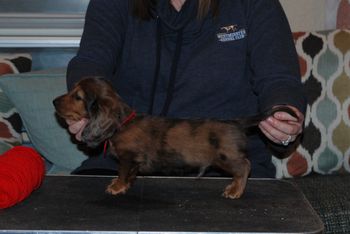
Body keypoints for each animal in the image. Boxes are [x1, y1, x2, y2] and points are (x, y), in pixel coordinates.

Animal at [54, 77, 296, 199]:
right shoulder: (133, 162)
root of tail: (236, 122)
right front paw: (124, 183)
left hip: (227, 157)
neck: (122, 123)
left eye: (78, 97)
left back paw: (235, 190)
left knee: (245, 167)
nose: (54, 102)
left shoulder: (127, 157)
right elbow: (131, 174)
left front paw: (118, 186)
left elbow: (123, 171)